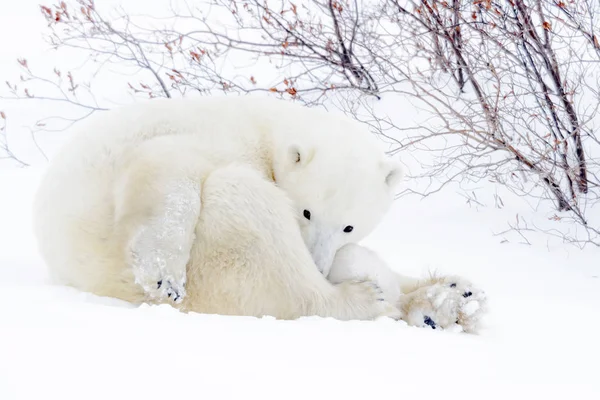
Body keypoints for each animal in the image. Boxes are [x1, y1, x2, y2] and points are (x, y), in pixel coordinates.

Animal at [31, 95, 404, 320]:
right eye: (307, 212)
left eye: (349, 227)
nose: (319, 265)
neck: (266, 129)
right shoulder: (208, 136)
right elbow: (165, 163)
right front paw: (165, 277)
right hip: (210, 260)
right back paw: (364, 297)